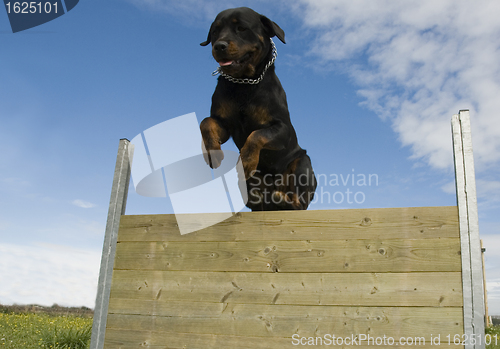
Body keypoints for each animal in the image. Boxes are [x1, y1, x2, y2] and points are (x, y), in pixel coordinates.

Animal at [199, 6, 316, 211]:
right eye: (215, 31)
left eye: (242, 28)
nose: (219, 45)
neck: (244, 83)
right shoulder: (225, 124)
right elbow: (206, 123)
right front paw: (213, 153)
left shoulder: (282, 128)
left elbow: (257, 135)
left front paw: (246, 161)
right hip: (248, 185)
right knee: (256, 202)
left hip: (303, 165)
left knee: (299, 203)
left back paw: (282, 199)